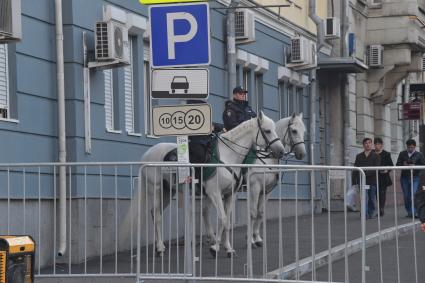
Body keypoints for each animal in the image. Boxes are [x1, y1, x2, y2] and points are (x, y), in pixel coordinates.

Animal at [121, 111, 284, 258]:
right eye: (267, 131)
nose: (281, 151)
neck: (228, 156)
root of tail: (147, 154)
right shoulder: (215, 193)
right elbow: (223, 218)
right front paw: (215, 248)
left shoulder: (230, 194)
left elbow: (227, 221)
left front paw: (228, 248)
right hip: (156, 189)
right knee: (157, 215)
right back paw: (160, 248)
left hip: (168, 192)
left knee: (156, 213)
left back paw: (159, 247)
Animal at [248, 113, 304, 248]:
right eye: (294, 131)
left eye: (304, 131)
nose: (302, 154)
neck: (266, 160)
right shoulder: (255, 188)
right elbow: (253, 212)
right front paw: (251, 241)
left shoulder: (266, 191)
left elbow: (260, 212)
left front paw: (257, 238)